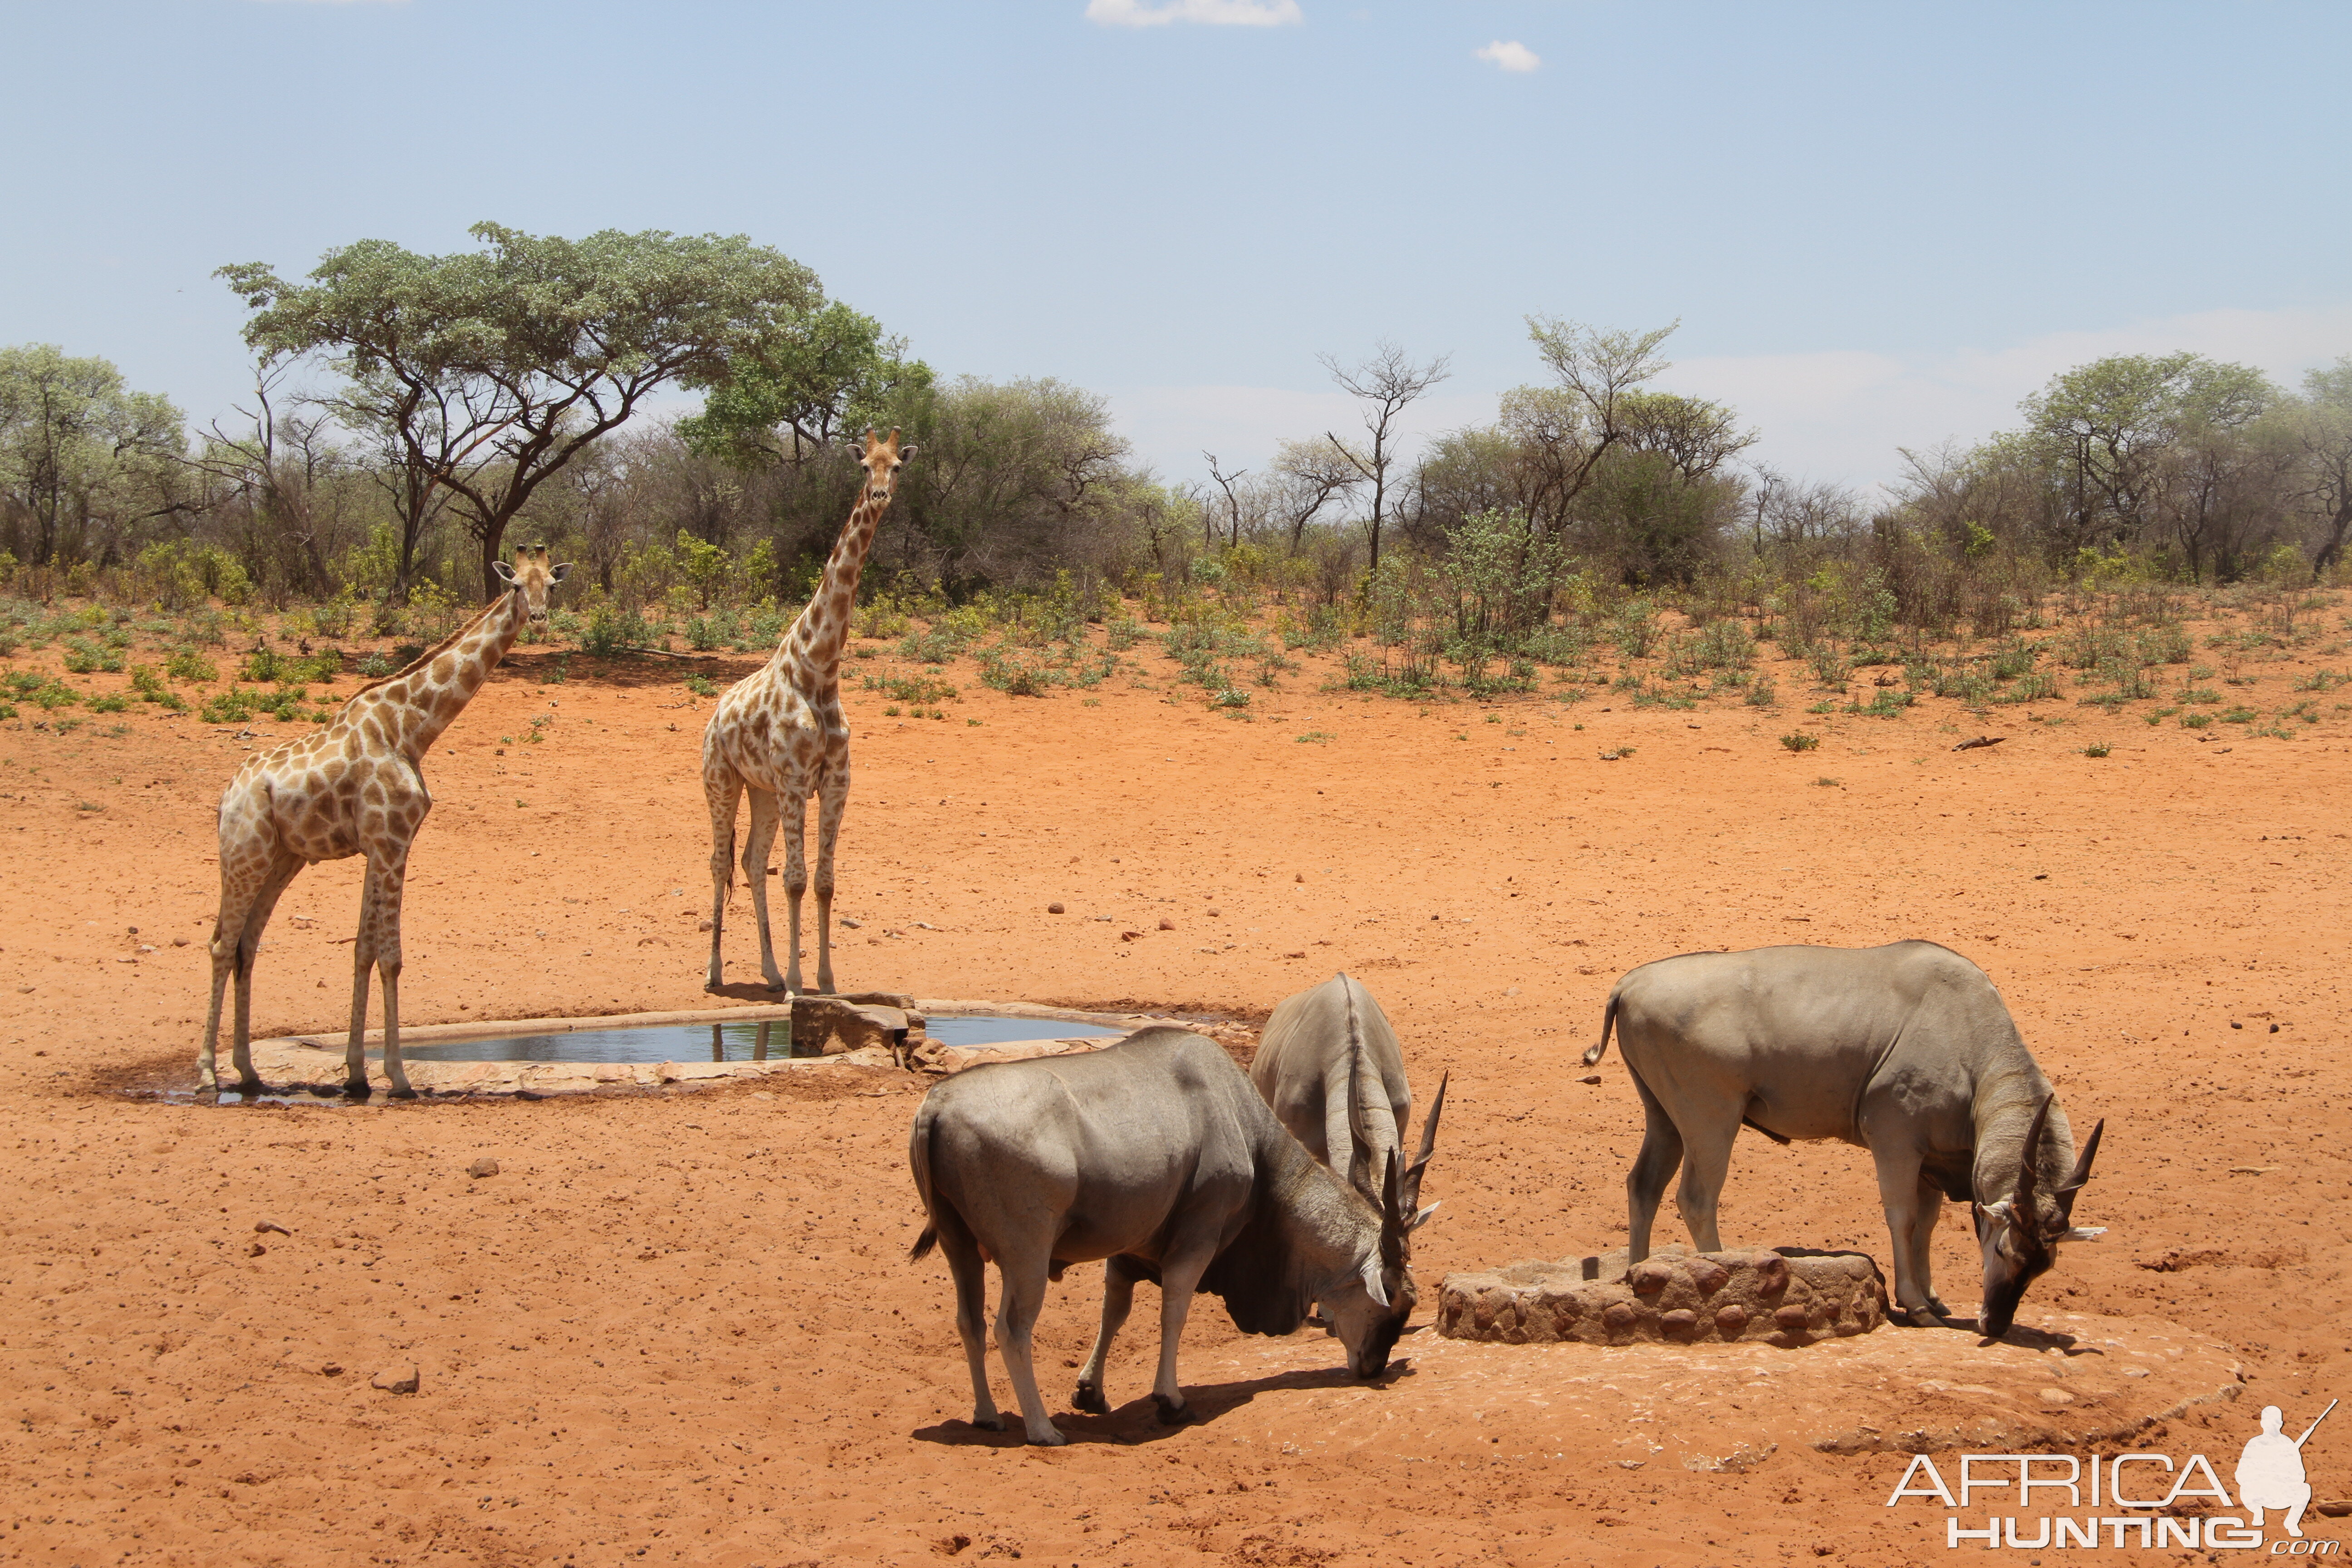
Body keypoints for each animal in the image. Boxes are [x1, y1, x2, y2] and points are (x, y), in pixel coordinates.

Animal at [199, 545, 573, 1100]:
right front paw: (397, 1077)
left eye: (550, 584)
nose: (541, 620)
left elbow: (362, 950)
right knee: (223, 944)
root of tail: (227, 795)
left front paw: (357, 1073)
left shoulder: (381, 845)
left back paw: (248, 1072)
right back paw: (207, 1072)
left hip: (282, 859)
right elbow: (390, 955)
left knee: (247, 943)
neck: (411, 730)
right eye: (514, 587)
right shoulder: (392, 840)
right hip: (244, 855)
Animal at [701, 425, 912, 992]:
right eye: (863, 465)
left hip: (763, 791)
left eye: (897, 467)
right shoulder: (797, 779)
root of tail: (714, 717)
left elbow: (823, 882)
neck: (820, 667)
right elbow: (795, 880)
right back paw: (716, 973)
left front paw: (824, 979)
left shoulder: (835, 781)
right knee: (719, 862)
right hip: (721, 781)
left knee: (751, 862)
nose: (880, 496)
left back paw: (771, 972)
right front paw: (801, 982)